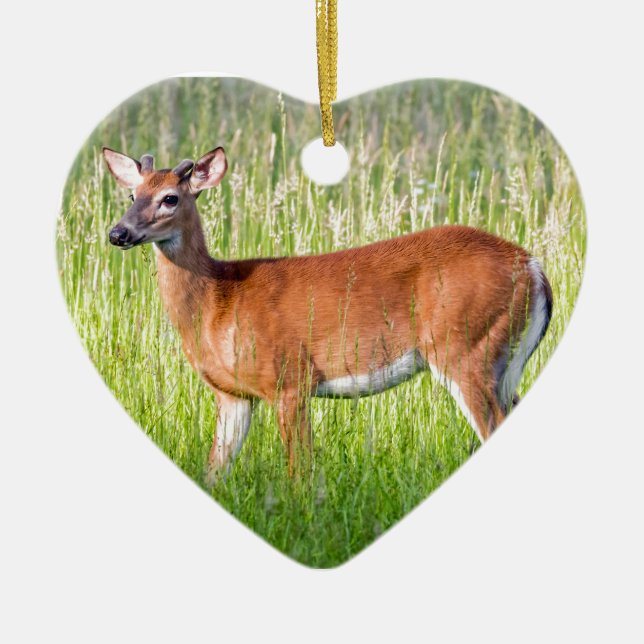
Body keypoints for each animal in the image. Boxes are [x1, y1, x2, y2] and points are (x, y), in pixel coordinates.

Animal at [103, 146, 553, 483]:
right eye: (131, 195)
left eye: (170, 198)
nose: (117, 233)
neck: (219, 300)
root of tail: (533, 267)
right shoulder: (233, 395)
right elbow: (215, 471)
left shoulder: (289, 379)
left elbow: (299, 473)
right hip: (501, 361)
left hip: (466, 348)